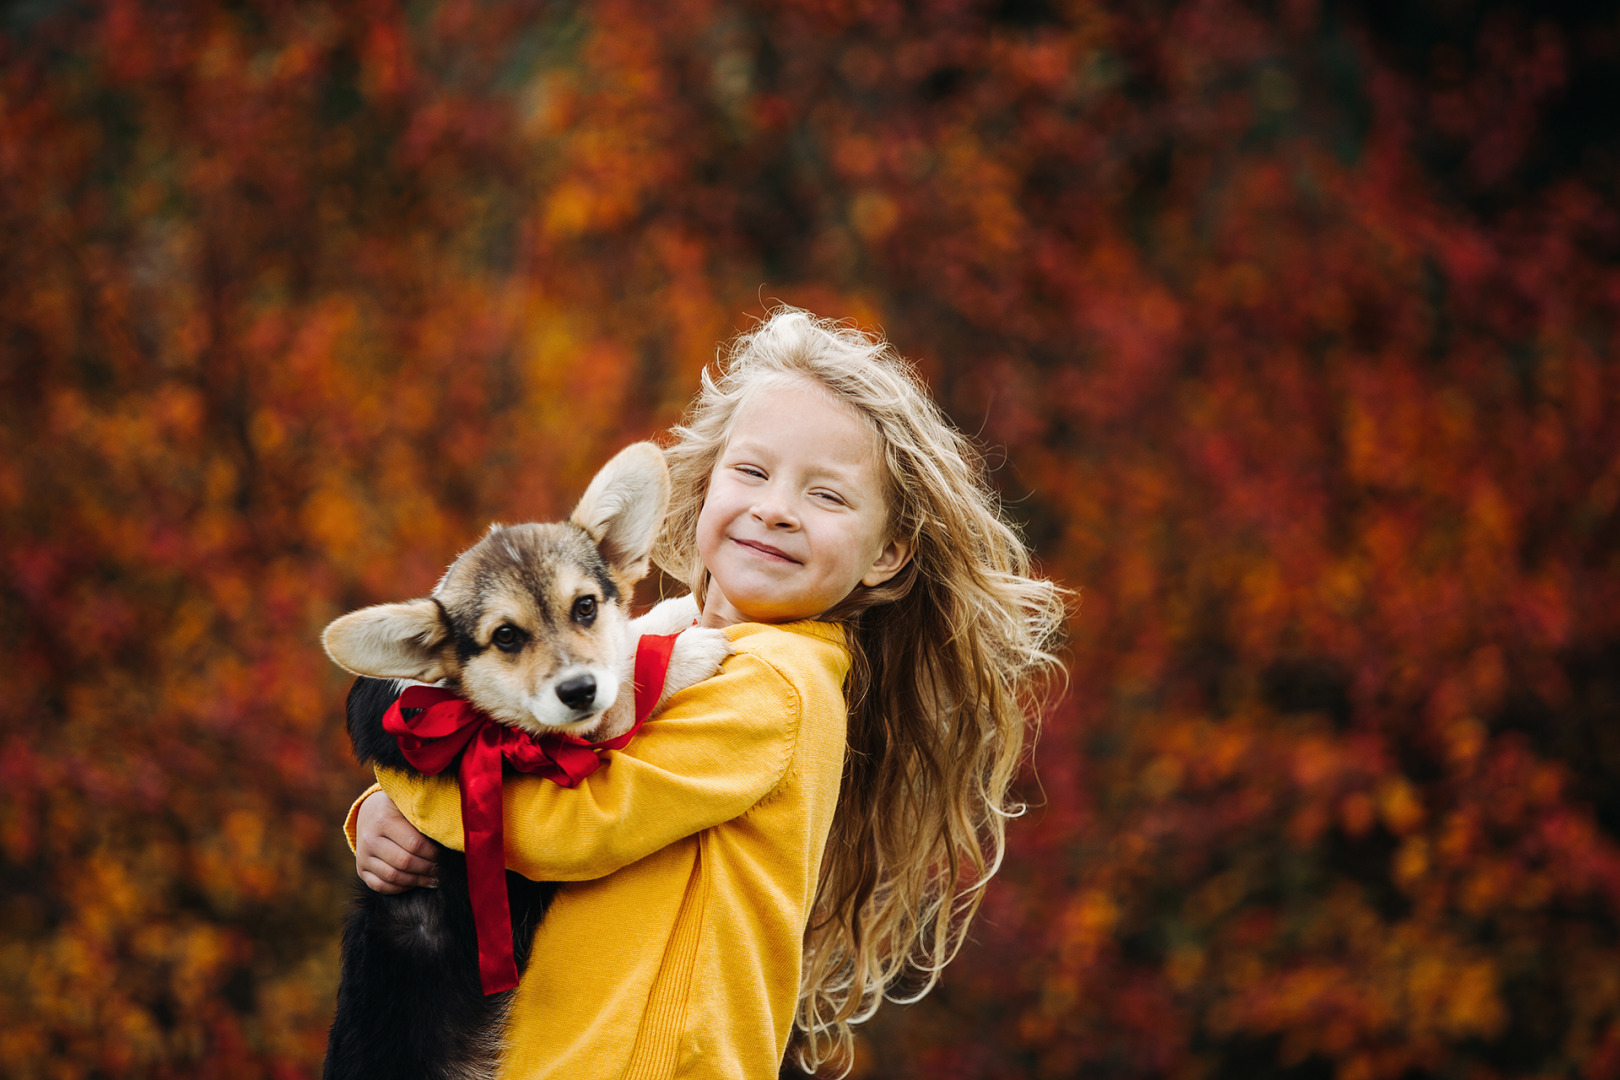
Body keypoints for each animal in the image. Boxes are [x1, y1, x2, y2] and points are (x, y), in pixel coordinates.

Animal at [317, 440, 735, 1080]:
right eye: (507, 637)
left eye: (585, 607)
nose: (579, 690)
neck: (465, 710)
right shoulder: (570, 753)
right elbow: (629, 691)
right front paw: (685, 648)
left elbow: (627, 641)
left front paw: (673, 614)